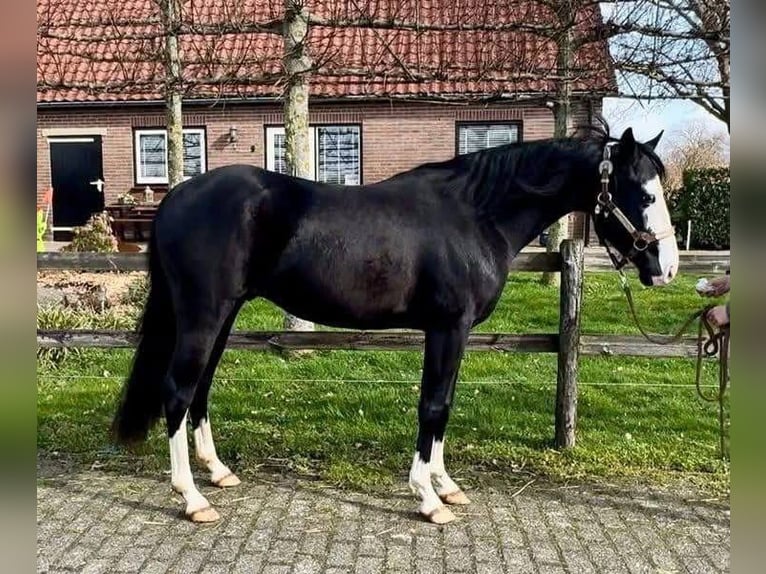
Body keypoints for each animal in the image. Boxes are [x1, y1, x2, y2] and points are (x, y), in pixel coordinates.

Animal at [111, 123, 678, 525]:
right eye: (644, 195)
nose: (667, 267)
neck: (476, 215)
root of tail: (176, 197)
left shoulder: (455, 333)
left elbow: (444, 406)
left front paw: (446, 485)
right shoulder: (448, 328)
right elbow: (434, 406)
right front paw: (428, 497)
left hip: (223, 315)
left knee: (200, 389)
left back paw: (218, 473)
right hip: (204, 315)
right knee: (178, 391)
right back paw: (191, 499)